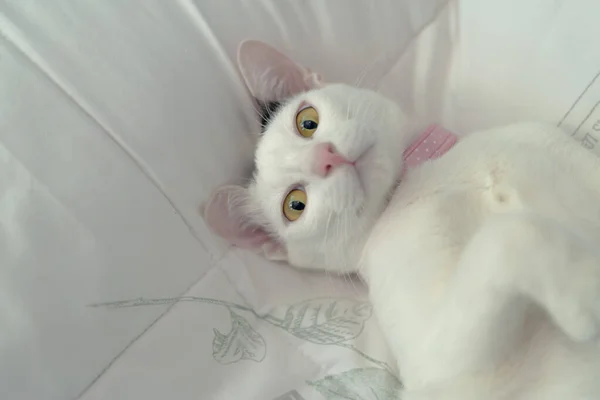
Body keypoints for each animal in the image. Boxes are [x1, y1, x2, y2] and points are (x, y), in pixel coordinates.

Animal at [205, 39, 600, 396]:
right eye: (295, 204)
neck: (417, 177)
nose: (326, 157)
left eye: (307, 122)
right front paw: (585, 298)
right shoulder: (443, 369)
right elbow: (507, 235)